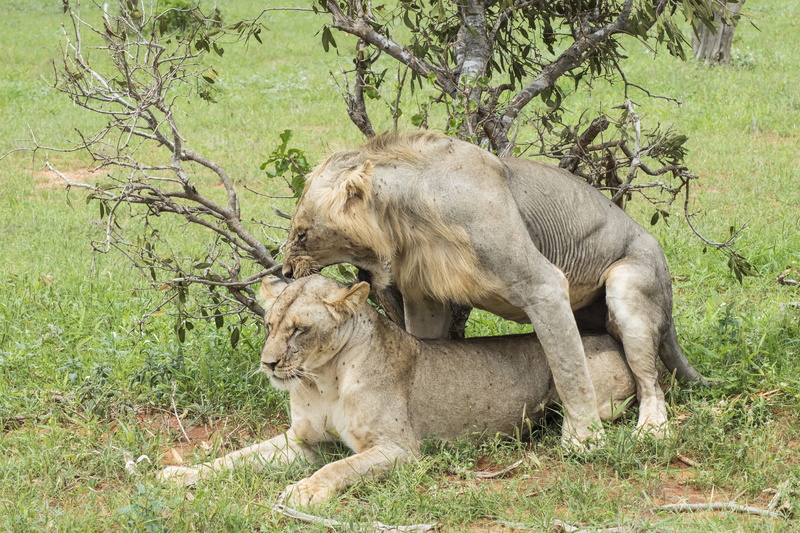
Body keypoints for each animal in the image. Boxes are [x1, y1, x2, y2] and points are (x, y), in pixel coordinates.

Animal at [159, 275, 636, 506]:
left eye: (299, 330)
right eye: (269, 325)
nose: (268, 363)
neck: (322, 378)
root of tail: (607, 337)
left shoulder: (399, 449)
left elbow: (339, 468)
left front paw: (305, 492)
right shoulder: (304, 442)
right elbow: (237, 457)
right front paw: (183, 474)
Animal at [281, 131, 704, 446]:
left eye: (301, 234)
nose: (285, 271)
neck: (407, 216)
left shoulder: (544, 285)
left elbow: (569, 368)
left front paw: (584, 439)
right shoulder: (426, 296)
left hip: (628, 283)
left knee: (651, 382)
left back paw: (652, 429)